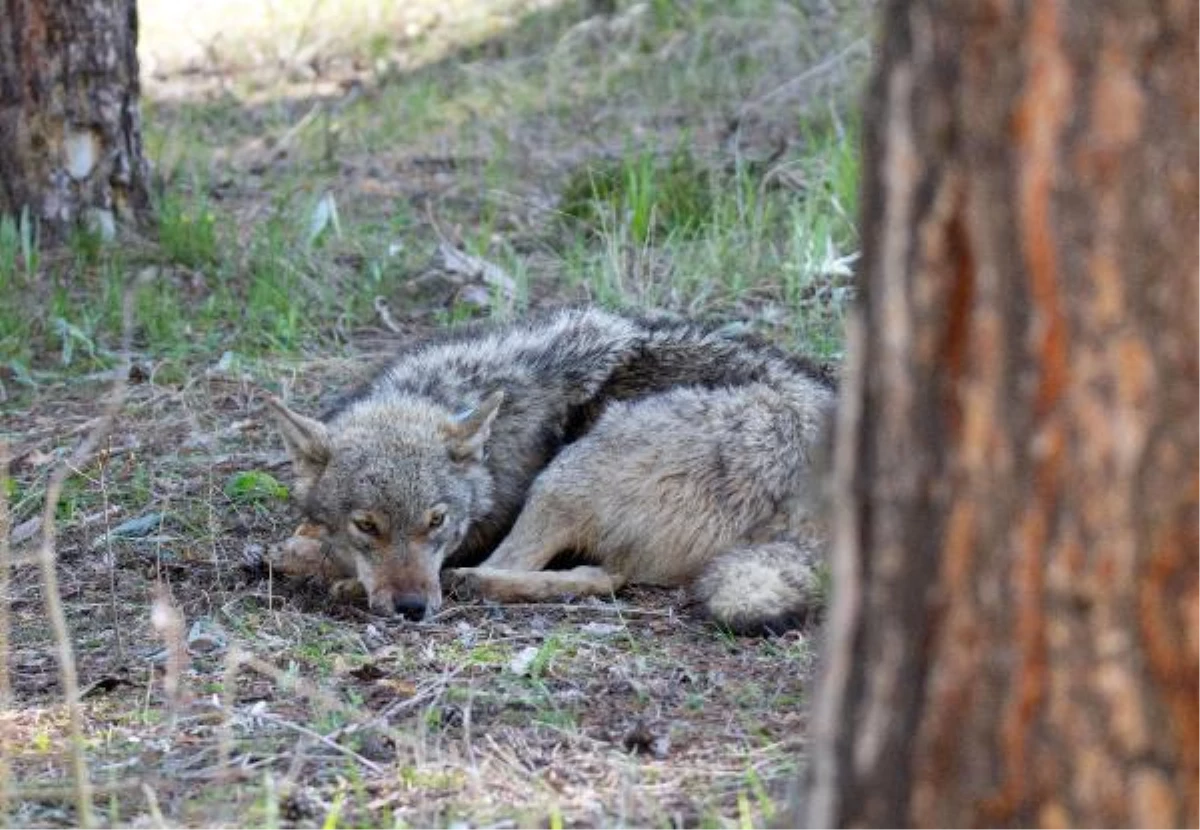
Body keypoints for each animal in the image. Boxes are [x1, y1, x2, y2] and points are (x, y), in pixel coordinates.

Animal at [268, 307, 835, 633]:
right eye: (367, 526)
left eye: (437, 521)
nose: (411, 608)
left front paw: (322, 565)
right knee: (603, 577)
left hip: (564, 476)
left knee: (552, 571)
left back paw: (460, 581)